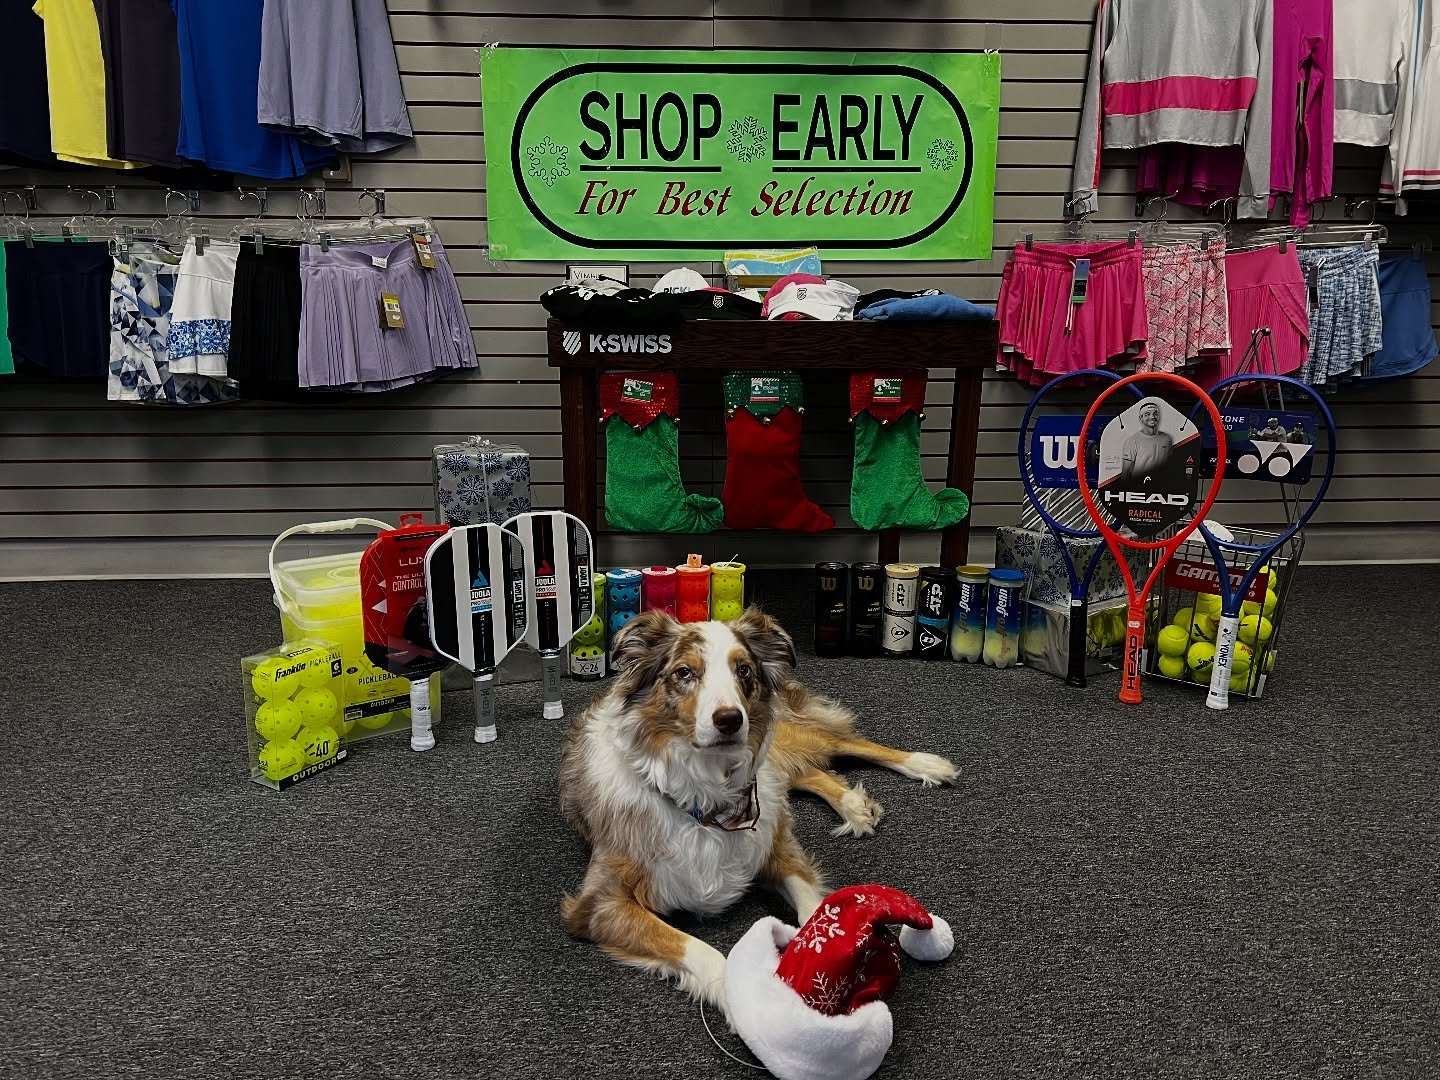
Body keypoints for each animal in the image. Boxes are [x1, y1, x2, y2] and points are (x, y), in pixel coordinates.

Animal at [558, 606, 958, 1010]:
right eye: (684, 672)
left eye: (744, 670)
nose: (730, 719)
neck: (705, 800)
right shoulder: (599, 903)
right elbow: (698, 949)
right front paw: (742, 998)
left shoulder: (775, 844)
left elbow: (812, 905)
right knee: (810, 771)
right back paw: (853, 804)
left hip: (782, 736)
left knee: (847, 742)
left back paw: (927, 765)